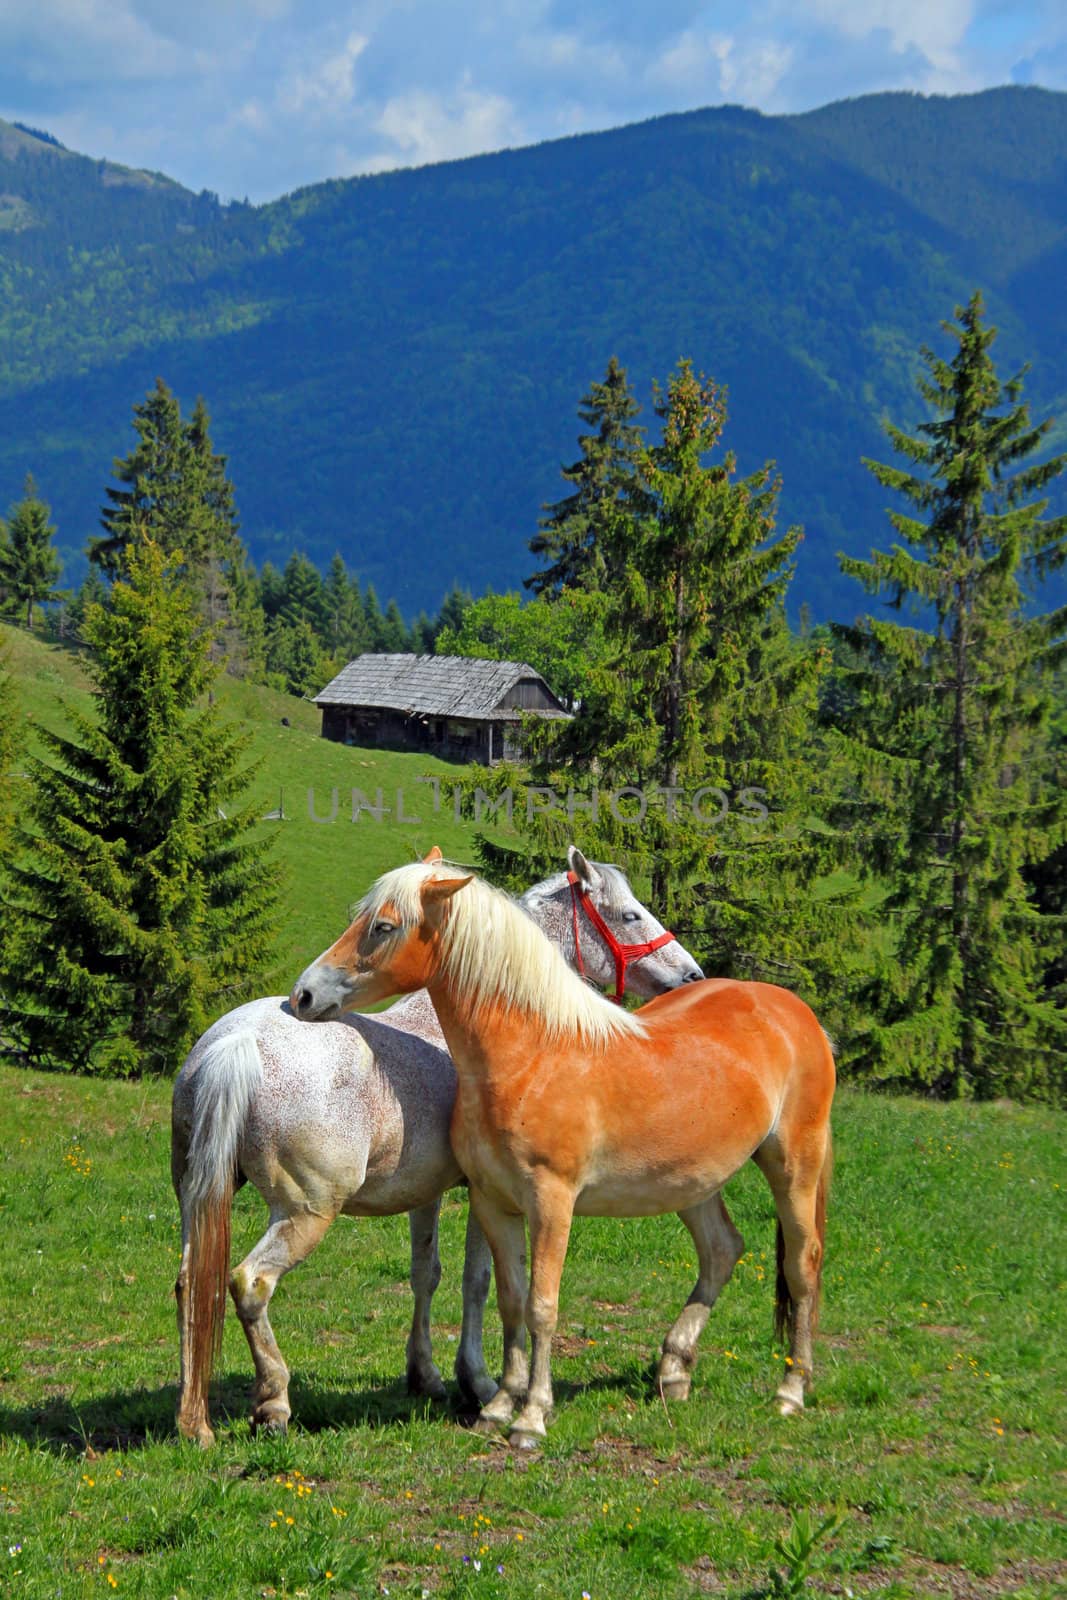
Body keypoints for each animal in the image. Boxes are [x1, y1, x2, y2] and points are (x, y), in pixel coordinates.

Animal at [171, 851, 700, 1452]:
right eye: (631, 915)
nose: (691, 975)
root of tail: (234, 1044)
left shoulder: (424, 1192)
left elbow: (426, 1272)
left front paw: (424, 1374)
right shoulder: (486, 1194)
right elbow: (479, 1281)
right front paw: (480, 1383)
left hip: (198, 1200)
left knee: (192, 1285)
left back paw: (193, 1422)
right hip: (303, 1214)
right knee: (249, 1284)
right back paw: (273, 1403)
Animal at [292, 864, 831, 1452]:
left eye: (384, 927)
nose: (303, 994)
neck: (533, 1055)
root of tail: (792, 1010)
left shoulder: (552, 1204)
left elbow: (541, 1307)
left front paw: (531, 1418)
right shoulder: (494, 1203)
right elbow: (508, 1299)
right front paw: (499, 1405)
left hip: (793, 1166)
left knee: (802, 1265)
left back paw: (790, 1392)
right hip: (693, 1182)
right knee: (720, 1251)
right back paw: (673, 1371)